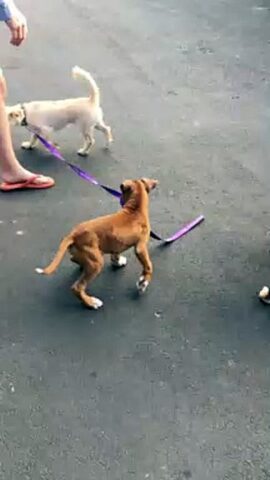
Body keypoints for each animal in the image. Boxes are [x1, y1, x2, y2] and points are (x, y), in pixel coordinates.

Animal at [35, 178, 158, 310]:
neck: (135, 211)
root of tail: (73, 235)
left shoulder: (115, 242)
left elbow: (115, 253)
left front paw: (117, 262)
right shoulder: (140, 247)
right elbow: (148, 265)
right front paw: (143, 282)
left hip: (92, 254)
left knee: (74, 259)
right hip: (96, 263)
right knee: (77, 288)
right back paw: (91, 302)